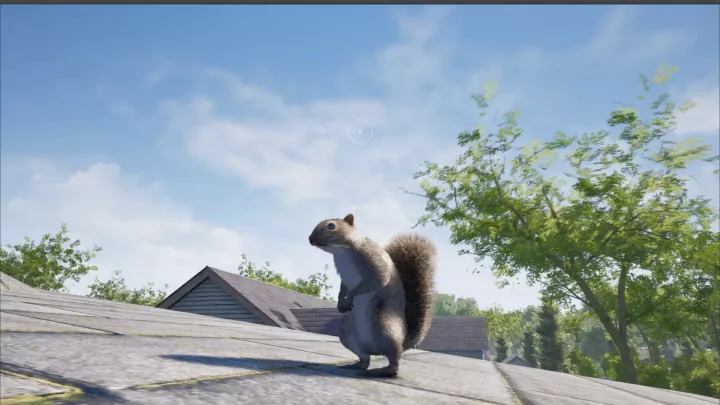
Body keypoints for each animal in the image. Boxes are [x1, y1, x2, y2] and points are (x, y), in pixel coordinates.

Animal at [308, 213, 436, 378]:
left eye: (331, 226)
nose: (310, 239)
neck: (342, 253)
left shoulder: (371, 260)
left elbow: (377, 279)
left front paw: (349, 298)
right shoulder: (344, 277)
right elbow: (343, 288)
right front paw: (340, 303)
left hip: (385, 327)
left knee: (394, 363)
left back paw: (381, 370)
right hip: (347, 333)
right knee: (365, 359)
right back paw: (355, 366)